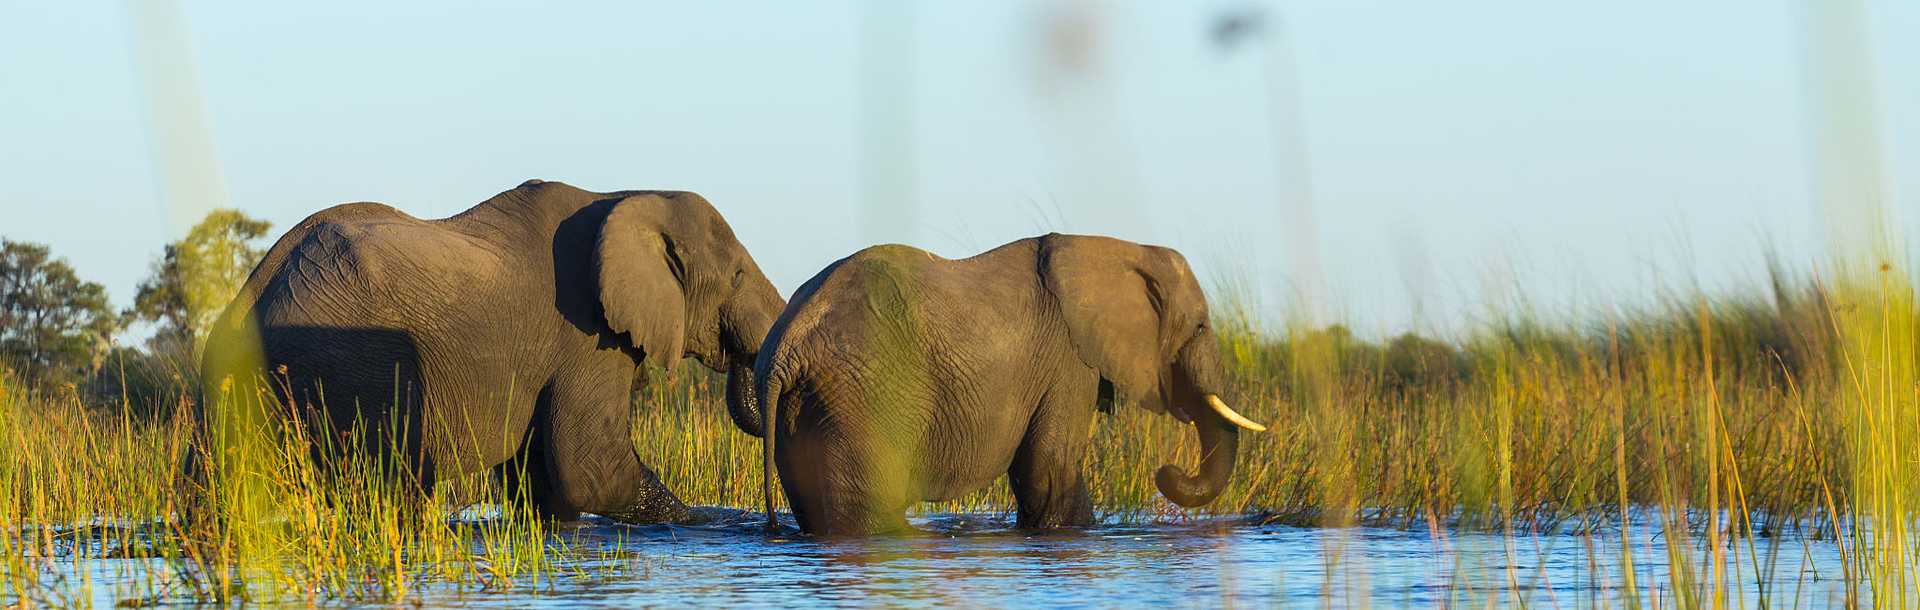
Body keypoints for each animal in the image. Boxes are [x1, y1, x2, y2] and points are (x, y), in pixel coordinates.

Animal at [200, 177, 779, 525]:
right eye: (737, 275)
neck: (629, 193)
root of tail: (255, 290)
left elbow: (542, 479)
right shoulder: (586, 337)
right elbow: (589, 468)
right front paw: (705, 523)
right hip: (352, 365)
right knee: (396, 488)